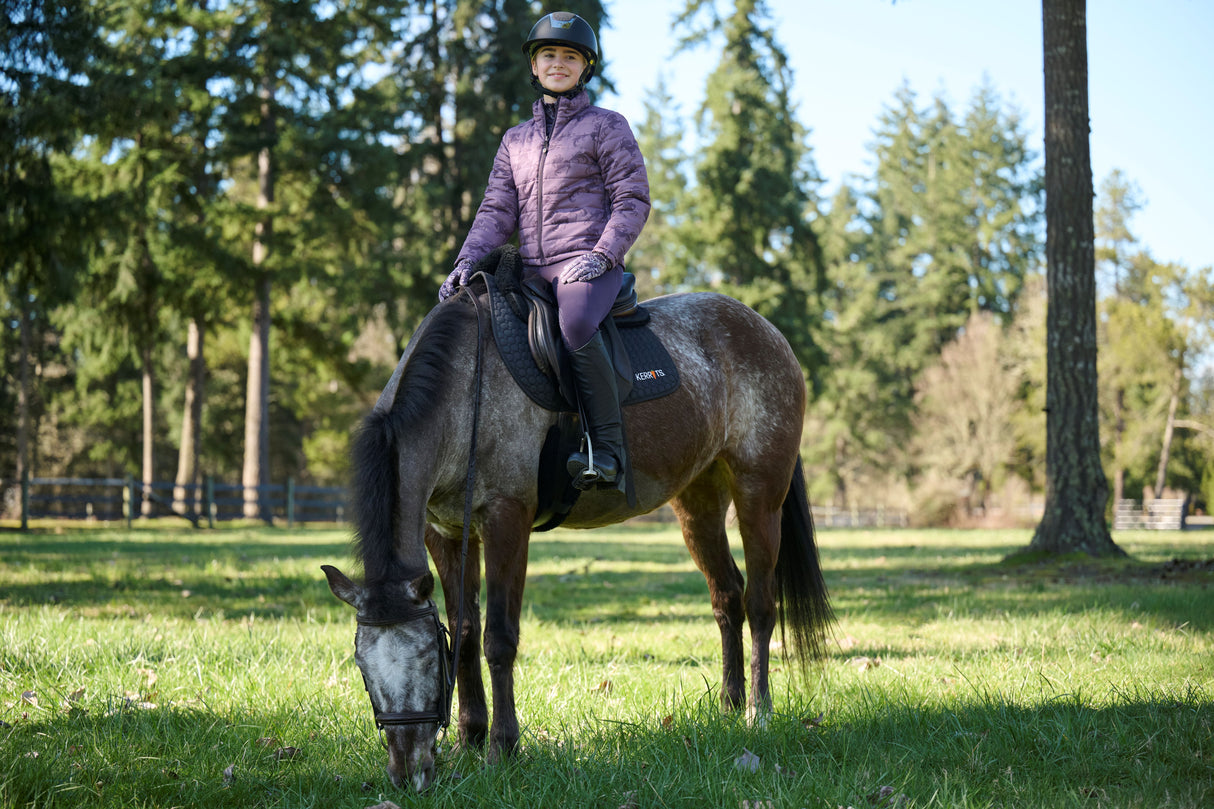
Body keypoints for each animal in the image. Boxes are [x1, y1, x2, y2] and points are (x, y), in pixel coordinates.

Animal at [322, 284, 833, 791]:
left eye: (427, 660)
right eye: (362, 669)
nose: (407, 773)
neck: (466, 393)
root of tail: (764, 329)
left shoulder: (506, 520)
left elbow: (498, 639)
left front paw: (502, 749)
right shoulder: (445, 533)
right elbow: (464, 632)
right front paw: (469, 739)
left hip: (759, 495)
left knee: (761, 604)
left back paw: (758, 713)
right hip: (699, 503)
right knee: (727, 598)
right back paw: (729, 705)